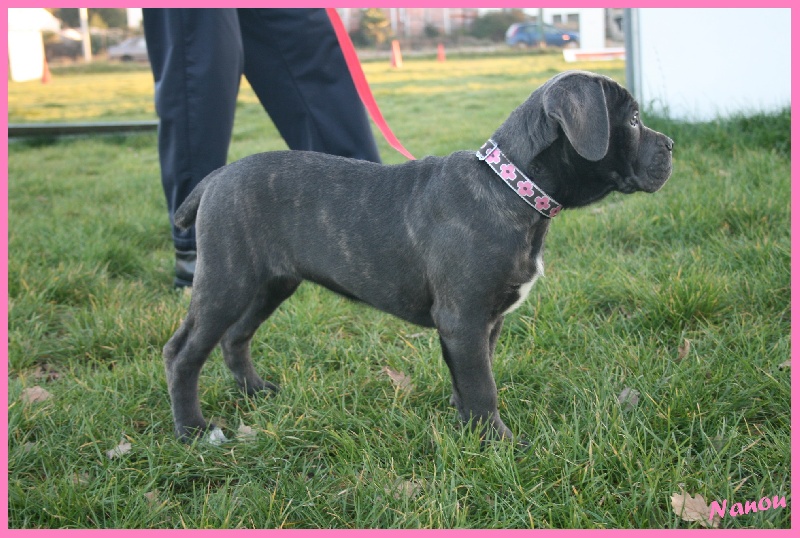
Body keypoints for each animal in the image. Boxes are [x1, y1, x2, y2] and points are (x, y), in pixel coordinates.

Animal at [166, 70, 672, 440]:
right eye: (632, 120)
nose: (669, 145)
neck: (511, 187)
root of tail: (216, 177)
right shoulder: (464, 318)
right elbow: (483, 384)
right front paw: (500, 444)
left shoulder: (483, 322)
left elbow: (473, 375)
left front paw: (466, 426)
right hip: (225, 282)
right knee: (183, 353)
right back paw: (194, 431)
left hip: (269, 283)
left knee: (235, 337)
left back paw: (254, 392)